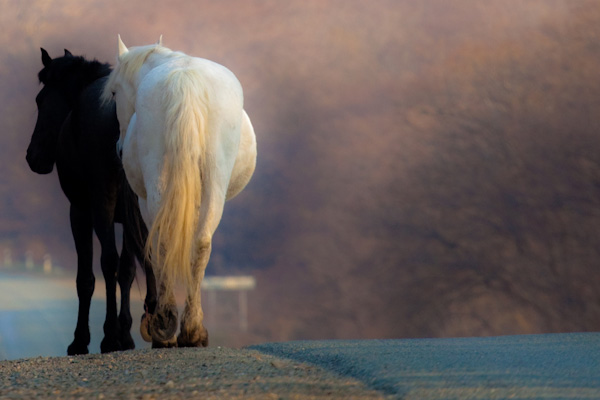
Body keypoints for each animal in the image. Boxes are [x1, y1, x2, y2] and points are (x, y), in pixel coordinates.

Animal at [25, 48, 157, 354]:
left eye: (39, 100)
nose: (33, 157)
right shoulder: (128, 217)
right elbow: (128, 270)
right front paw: (127, 334)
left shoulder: (81, 211)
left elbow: (87, 277)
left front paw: (81, 340)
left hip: (100, 205)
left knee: (107, 262)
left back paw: (108, 336)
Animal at [102, 35, 255, 346]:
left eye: (114, 92)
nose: (119, 149)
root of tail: (186, 81)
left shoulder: (145, 201)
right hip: (214, 182)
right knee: (201, 242)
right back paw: (191, 329)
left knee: (167, 241)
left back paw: (169, 324)